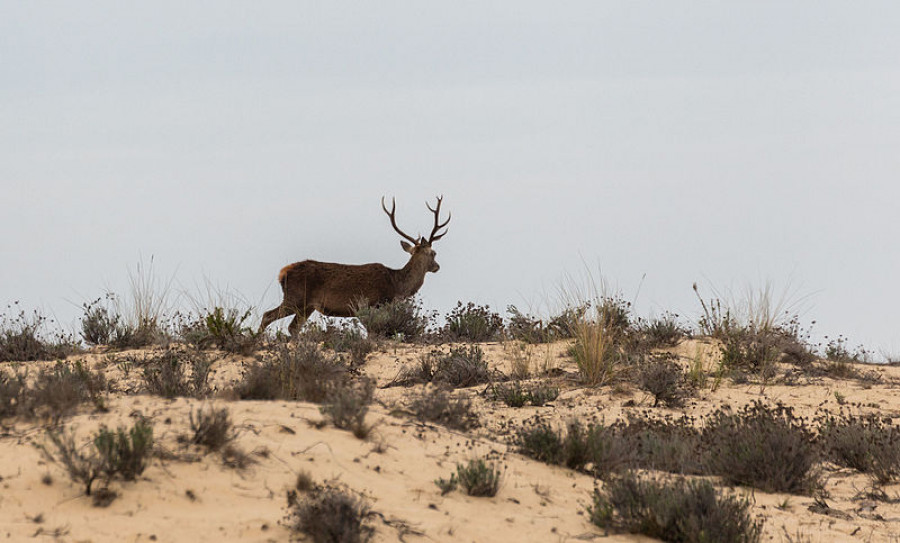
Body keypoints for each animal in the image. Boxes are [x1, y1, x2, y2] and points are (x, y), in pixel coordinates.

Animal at [258, 196, 448, 336]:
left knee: (293, 327)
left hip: (307, 306)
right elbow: (374, 332)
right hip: (295, 297)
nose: (437, 266)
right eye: (434, 253)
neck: (397, 285)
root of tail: (282, 273)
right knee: (268, 316)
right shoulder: (374, 304)